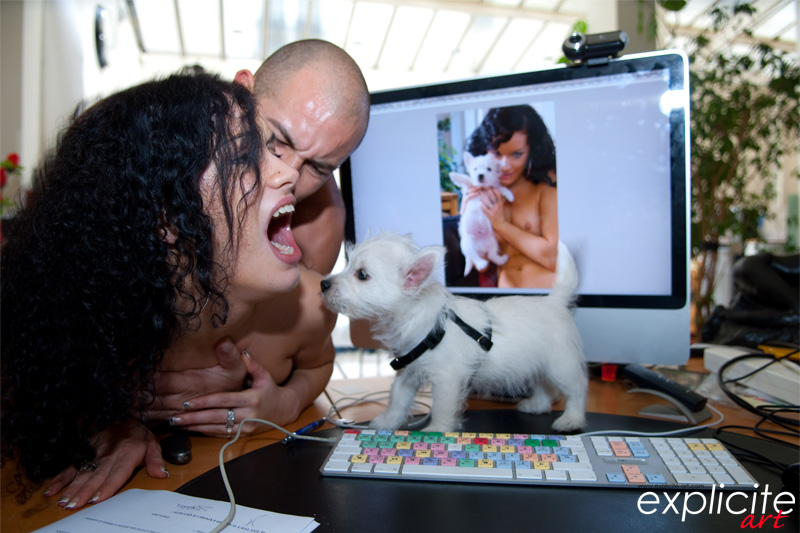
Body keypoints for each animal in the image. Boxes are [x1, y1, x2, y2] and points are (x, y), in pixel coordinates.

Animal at [320, 232, 587, 433]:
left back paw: (571, 420)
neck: (417, 319)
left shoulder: (446, 379)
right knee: (544, 386)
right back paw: (536, 406)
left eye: (362, 275)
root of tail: (554, 301)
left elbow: (441, 406)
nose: (323, 284)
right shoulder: (410, 370)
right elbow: (398, 396)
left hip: (560, 364)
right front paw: (388, 421)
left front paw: (437, 430)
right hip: (537, 362)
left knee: (576, 389)